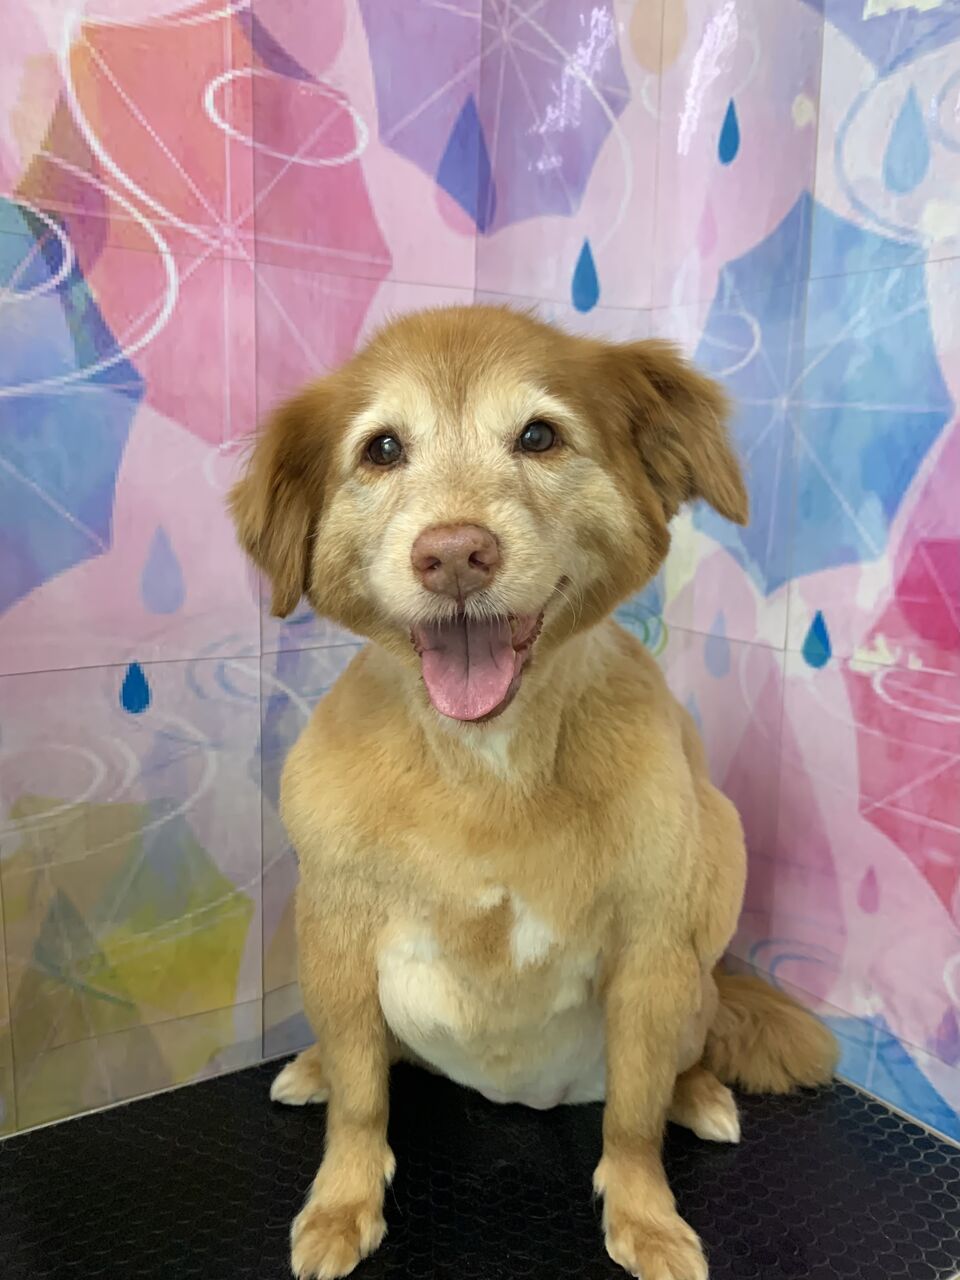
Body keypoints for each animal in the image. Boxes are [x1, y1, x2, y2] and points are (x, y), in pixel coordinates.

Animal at [229, 305, 836, 1280]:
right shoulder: (335, 930)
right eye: (382, 448)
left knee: (674, 1066)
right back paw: (315, 1067)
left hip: (698, 979)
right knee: (369, 1057)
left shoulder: (654, 952)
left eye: (539, 436)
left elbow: (631, 1122)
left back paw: (700, 1095)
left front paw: (647, 1220)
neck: (486, 762)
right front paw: (342, 1204)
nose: (454, 554)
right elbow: (362, 1103)